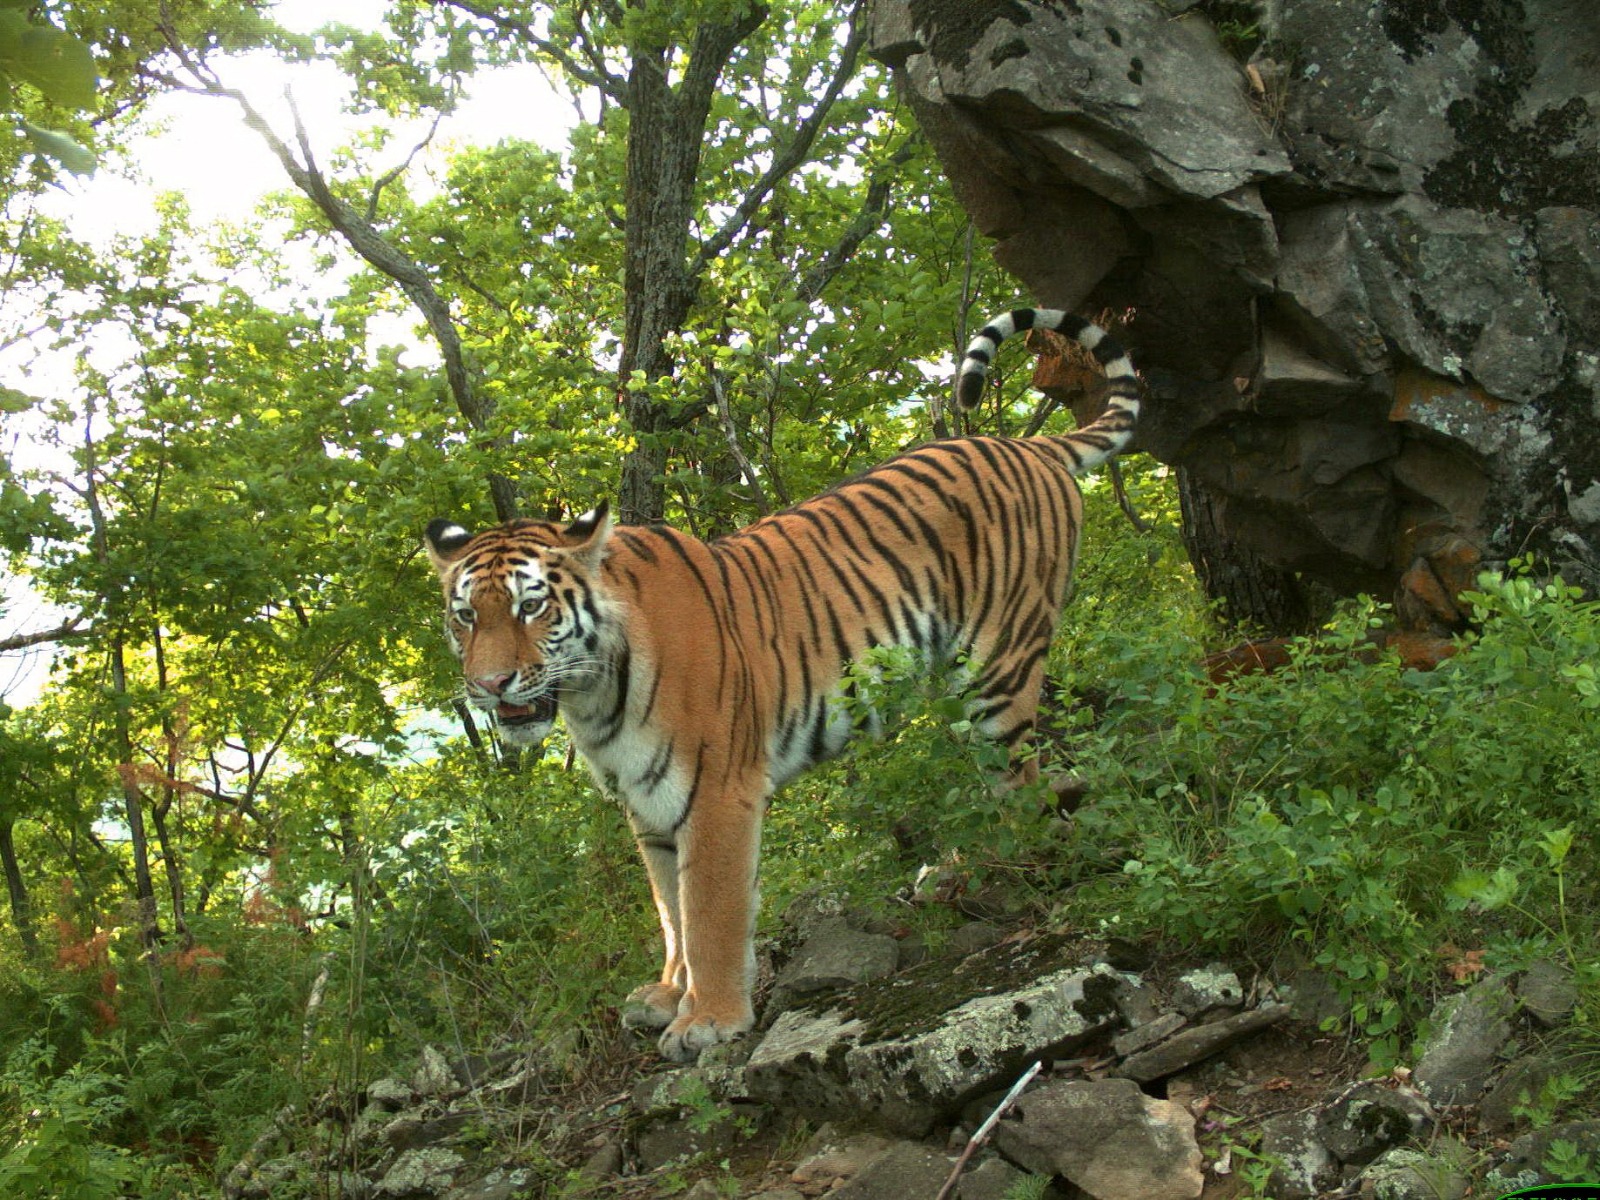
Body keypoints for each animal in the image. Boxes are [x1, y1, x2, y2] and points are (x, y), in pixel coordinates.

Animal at [422, 307, 1139, 1062]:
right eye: (466, 616)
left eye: (531, 607)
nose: (490, 683)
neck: (593, 697)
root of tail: (1029, 448)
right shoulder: (646, 808)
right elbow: (669, 909)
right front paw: (669, 994)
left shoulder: (715, 791)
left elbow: (708, 911)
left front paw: (708, 1020)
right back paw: (955, 871)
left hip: (998, 669)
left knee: (1021, 783)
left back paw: (1008, 871)